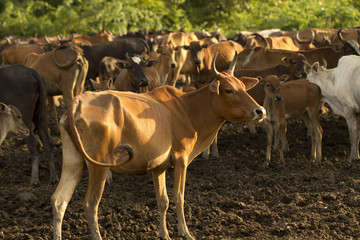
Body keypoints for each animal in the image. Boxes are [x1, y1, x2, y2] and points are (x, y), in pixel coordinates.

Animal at [50, 53, 264, 240]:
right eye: (228, 90)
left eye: (243, 87)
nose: (260, 110)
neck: (186, 109)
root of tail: (76, 103)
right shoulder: (181, 159)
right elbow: (179, 197)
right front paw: (185, 233)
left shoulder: (157, 166)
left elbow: (163, 200)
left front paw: (164, 233)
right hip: (98, 167)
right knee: (90, 204)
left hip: (74, 163)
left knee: (59, 200)